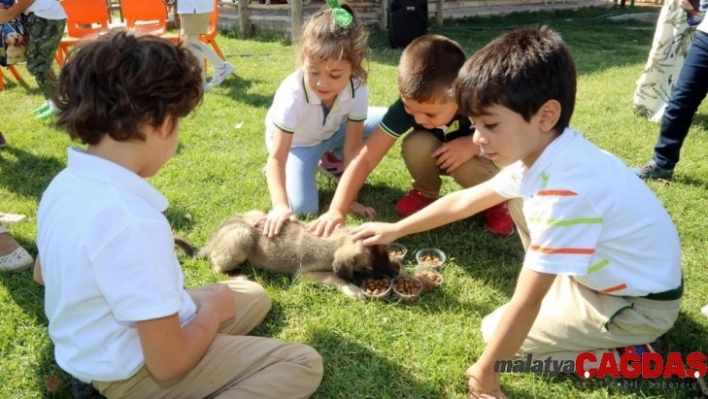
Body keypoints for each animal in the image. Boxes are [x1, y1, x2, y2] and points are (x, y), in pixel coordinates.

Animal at [174, 212, 402, 300]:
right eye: (368, 269)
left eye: (385, 252)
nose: (395, 275)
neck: (332, 241)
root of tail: (213, 240)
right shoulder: (305, 275)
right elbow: (335, 276)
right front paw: (352, 288)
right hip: (241, 236)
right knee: (216, 267)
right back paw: (238, 276)